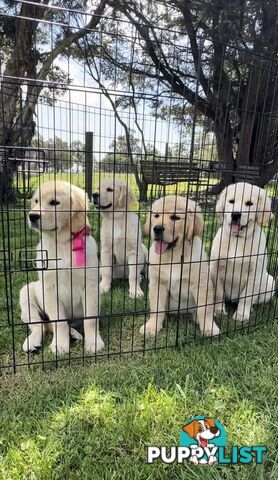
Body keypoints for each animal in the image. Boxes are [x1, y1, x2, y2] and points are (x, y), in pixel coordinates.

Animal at [19, 182, 104, 354]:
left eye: (54, 203)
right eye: (36, 201)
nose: (32, 216)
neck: (62, 243)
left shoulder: (91, 286)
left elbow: (91, 320)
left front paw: (93, 342)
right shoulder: (49, 288)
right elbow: (59, 321)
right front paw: (60, 345)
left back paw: (73, 334)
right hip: (26, 293)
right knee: (41, 325)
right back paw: (32, 342)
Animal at [140, 195, 220, 338]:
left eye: (175, 217)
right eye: (156, 215)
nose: (157, 228)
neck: (174, 256)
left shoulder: (201, 284)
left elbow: (204, 309)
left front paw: (209, 327)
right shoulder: (157, 283)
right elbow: (156, 307)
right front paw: (152, 326)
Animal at [212, 182, 274, 320]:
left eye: (249, 203)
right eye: (231, 201)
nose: (235, 214)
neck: (237, 239)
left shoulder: (254, 272)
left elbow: (246, 297)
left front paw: (241, 314)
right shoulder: (216, 268)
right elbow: (218, 293)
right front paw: (218, 311)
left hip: (270, 282)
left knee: (254, 300)